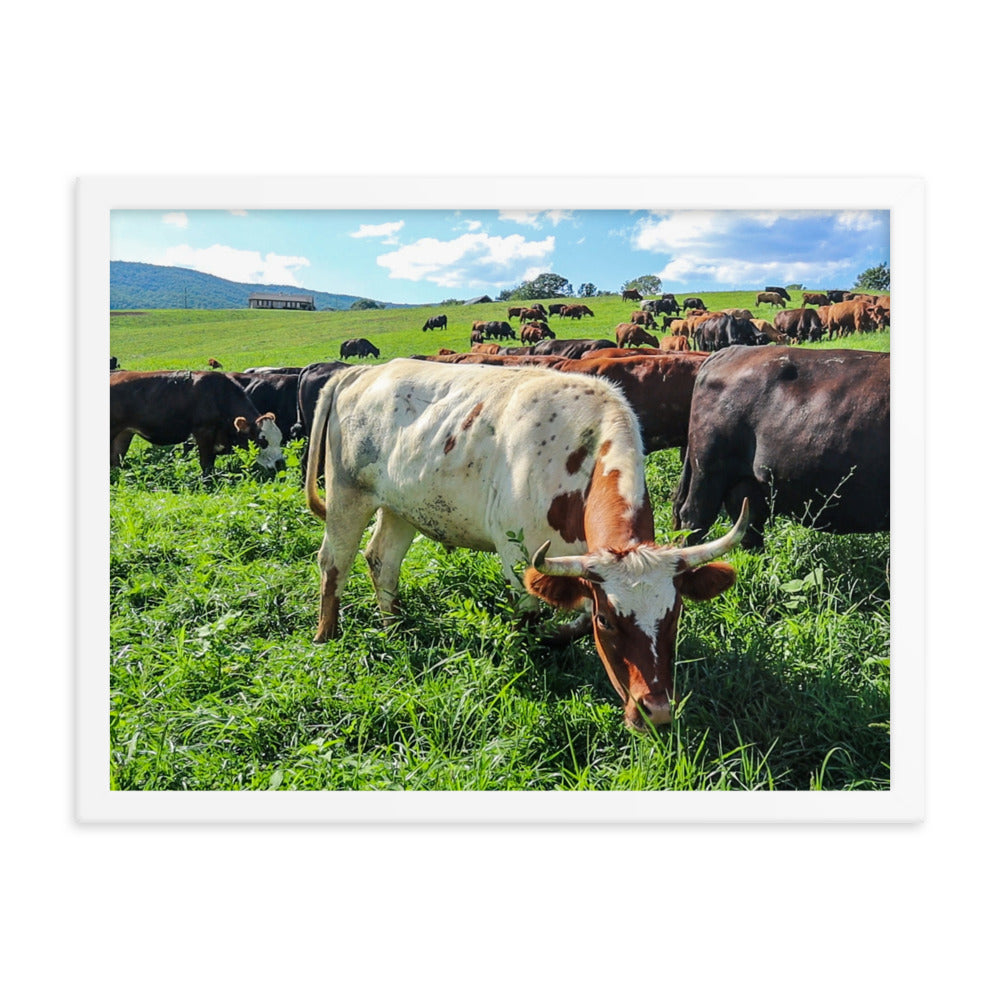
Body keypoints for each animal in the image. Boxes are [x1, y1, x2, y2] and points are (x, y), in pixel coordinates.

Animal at [110, 370, 285, 476]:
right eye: (262, 441)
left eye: (280, 439)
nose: (281, 464)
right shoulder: (204, 433)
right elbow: (206, 464)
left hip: (124, 433)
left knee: (115, 460)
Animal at [304, 358, 747, 730]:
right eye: (609, 622)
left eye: (674, 615)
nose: (655, 712)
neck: (580, 456)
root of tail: (362, 371)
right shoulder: (518, 557)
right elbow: (531, 618)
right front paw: (532, 657)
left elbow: (575, 619)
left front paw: (557, 637)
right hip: (347, 495)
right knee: (334, 563)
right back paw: (326, 637)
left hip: (401, 508)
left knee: (382, 561)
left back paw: (395, 627)